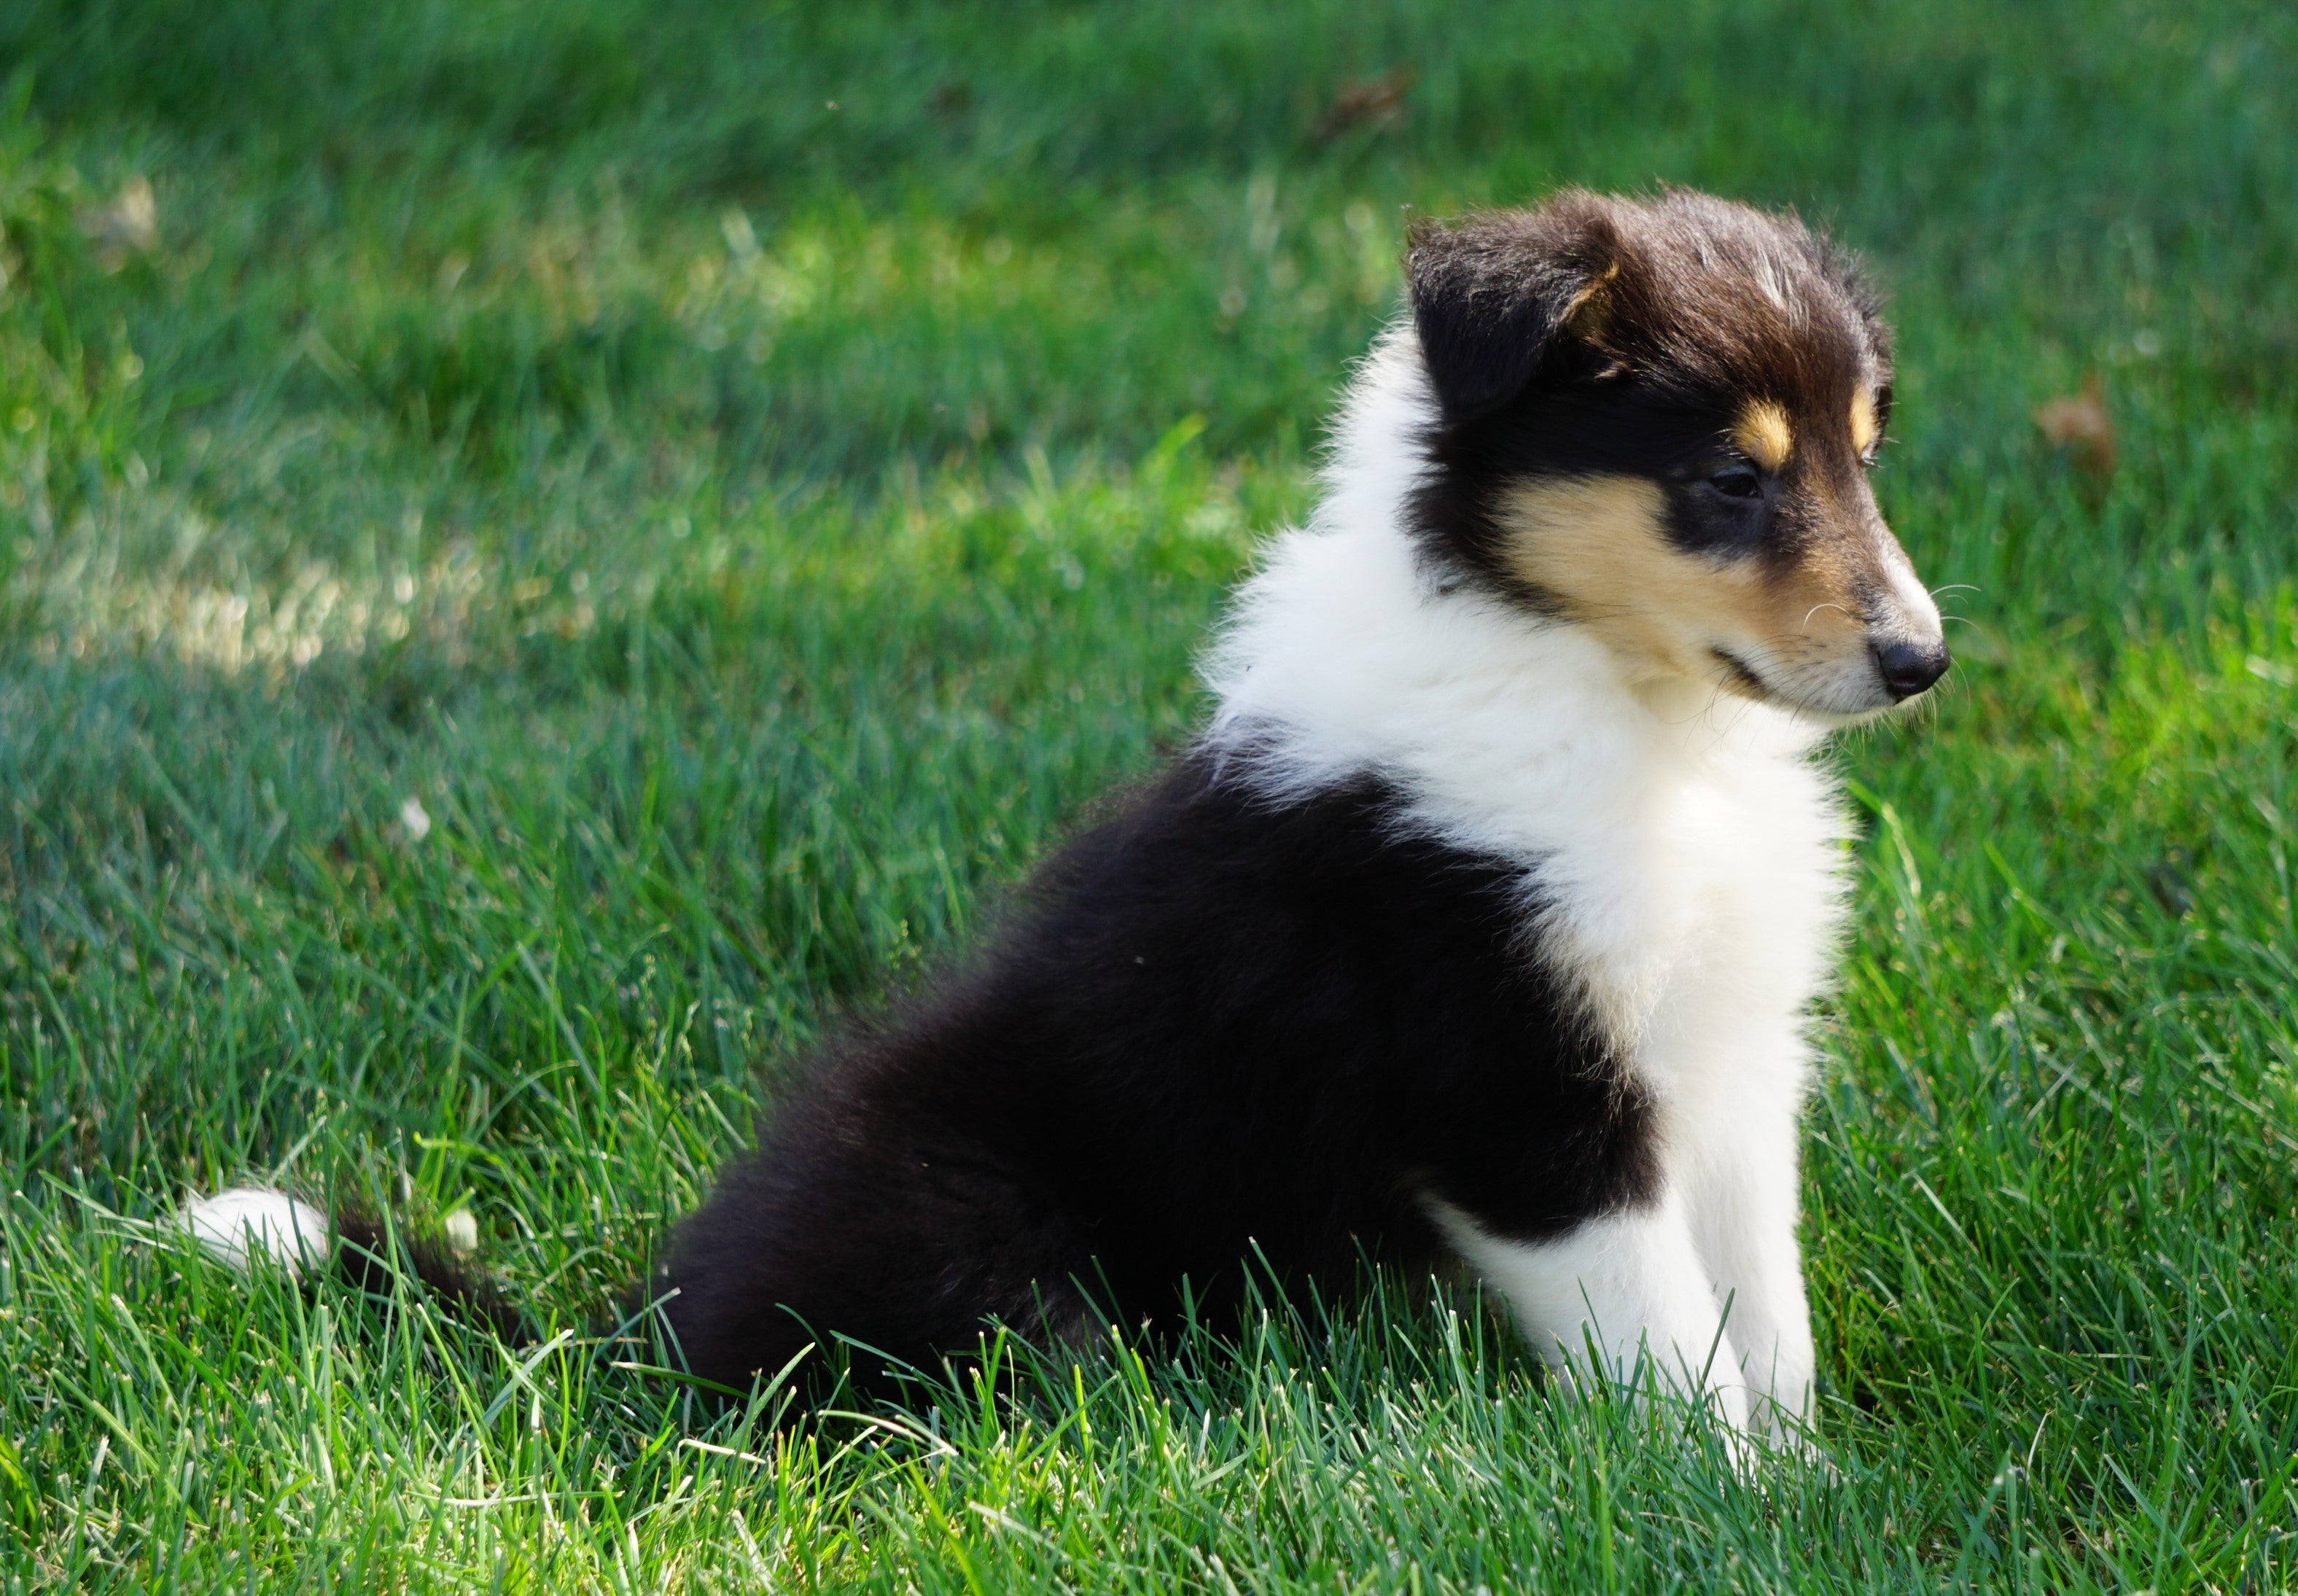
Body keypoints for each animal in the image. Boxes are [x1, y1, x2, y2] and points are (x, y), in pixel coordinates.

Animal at [198, 187, 1948, 1453]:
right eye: (1730, 477)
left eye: (1864, 456)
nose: (1920, 659)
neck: (1616, 700)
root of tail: (635, 1331)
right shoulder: (1518, 1088)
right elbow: (1666, 1344)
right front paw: (1731, 1497)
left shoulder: (1731, 1059)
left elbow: (1764, 1308)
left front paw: (1809, 1478)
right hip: (978, 1227)